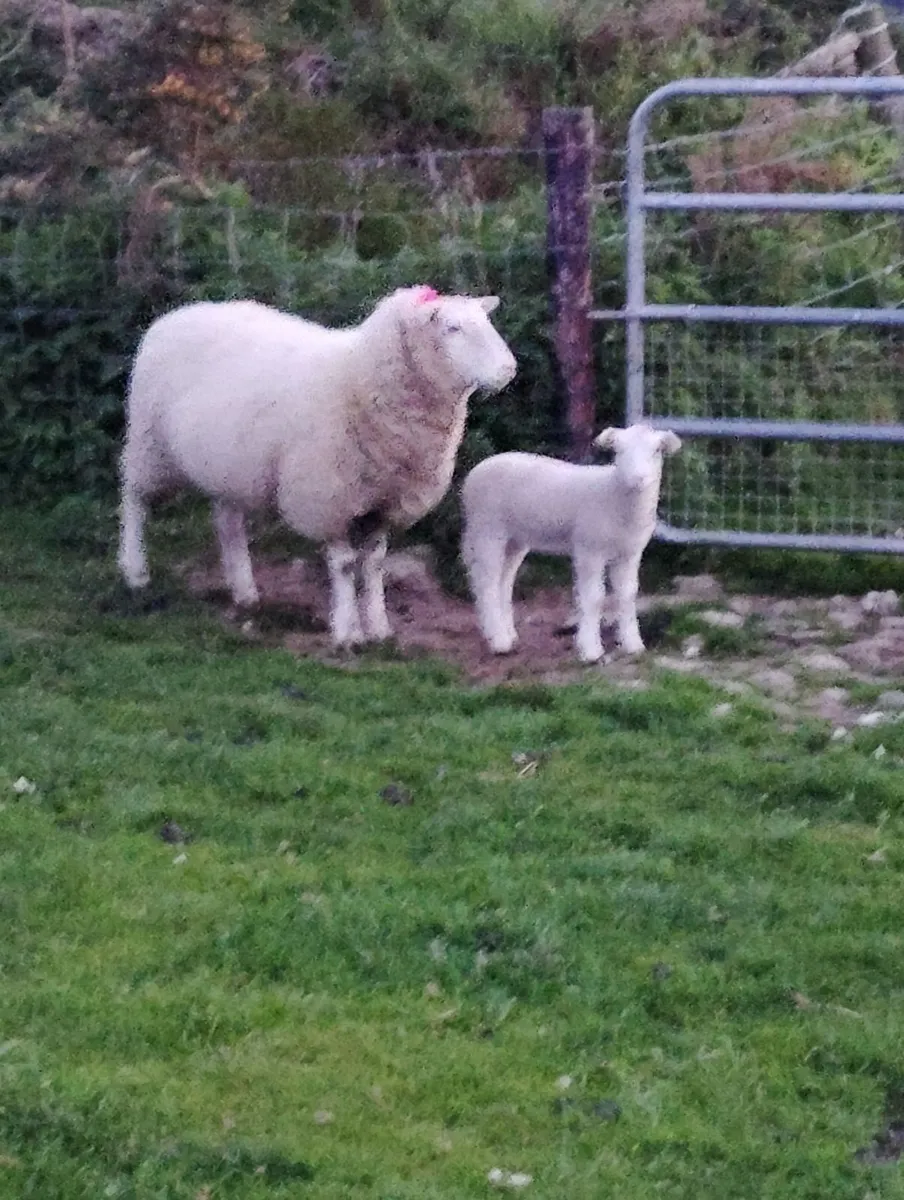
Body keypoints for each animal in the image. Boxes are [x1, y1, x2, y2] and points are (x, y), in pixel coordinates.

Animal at [117, 285, 517, 649]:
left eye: (485, 322)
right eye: (452, 328)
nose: (509, 370)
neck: (359, 378)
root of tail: (174, 315)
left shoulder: (384, 501)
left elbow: (373, 563)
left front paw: (378, 628)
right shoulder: (329, 498)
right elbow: (344, 565)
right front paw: (346, 632)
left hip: (226, 463)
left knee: (227, 522)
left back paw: (244, 591)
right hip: (150, 444)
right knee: (134, 499)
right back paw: (135, 571)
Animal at [460, 423, 682, 664]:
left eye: (657, 451)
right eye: (618, 450)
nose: (638, 478)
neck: (613, 494)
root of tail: (473, 474)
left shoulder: (630, 553)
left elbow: (627, 595)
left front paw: (633, 644)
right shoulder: (589, 549)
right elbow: (594, 598)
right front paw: (591, 649)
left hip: (515, 539)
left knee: (504, 580)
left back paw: (508, 634)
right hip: (488, 528)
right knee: (487, 583)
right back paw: (498, 640)